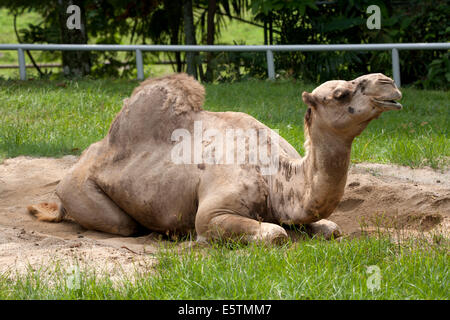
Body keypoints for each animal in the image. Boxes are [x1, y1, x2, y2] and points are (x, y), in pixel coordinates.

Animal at [27, 72, 400, 242]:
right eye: (340, 94)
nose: (389, 83)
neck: (277, 177)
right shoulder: (214, 210)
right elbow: (274, 234)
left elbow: (332, 228)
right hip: (78, 190)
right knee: (123, 224)